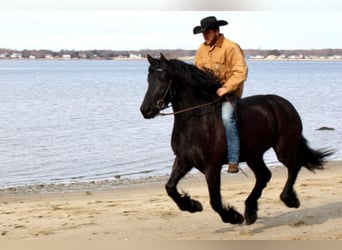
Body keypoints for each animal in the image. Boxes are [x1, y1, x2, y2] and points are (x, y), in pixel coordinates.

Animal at [140, 53, 334, 226]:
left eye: (163, 79)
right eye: (149, 79)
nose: (145, 110)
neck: (197, 121)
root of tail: (284, 104)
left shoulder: (212, 167)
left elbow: (215, 201)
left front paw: (232, 217)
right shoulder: (184, 160)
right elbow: (170, 188)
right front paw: (192, 205)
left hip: (283, 148)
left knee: (294, 166)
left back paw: (289, 200)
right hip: (253, 155)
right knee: (264, 175)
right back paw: (250, 211)